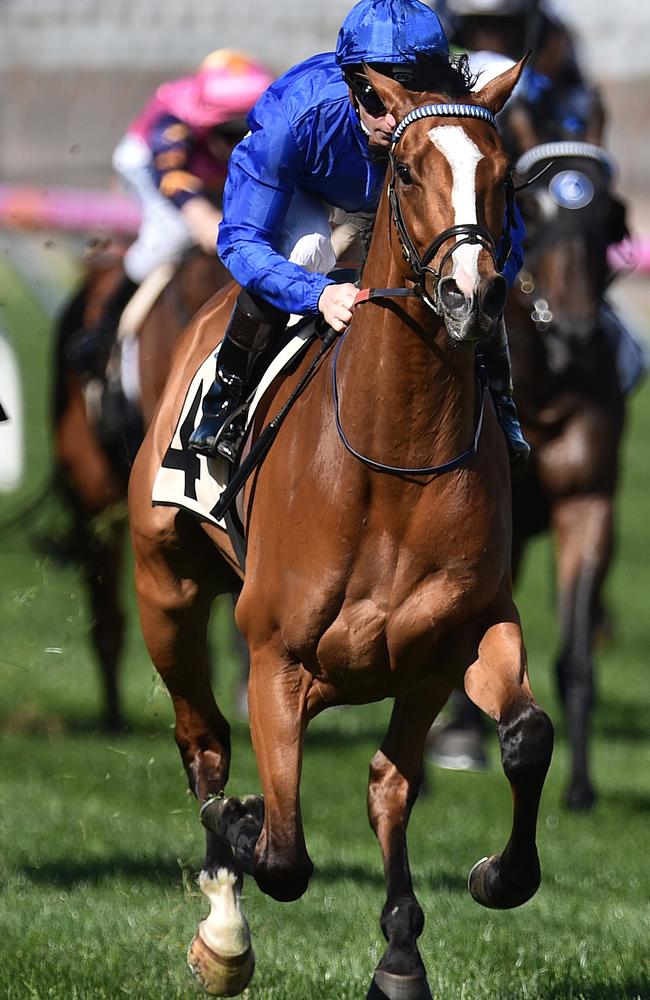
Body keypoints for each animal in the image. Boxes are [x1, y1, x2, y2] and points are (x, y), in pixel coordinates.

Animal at [130, 58, 552, 996]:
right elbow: (283, 852)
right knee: (203, 744)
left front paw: (480, 889)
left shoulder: (458, 637)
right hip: (165, 588)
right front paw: (243, 832)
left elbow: (512, 743)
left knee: (382, 779)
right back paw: (223, 929)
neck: (395, 457)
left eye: (505, 178)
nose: (471, 295)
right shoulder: (276, 657)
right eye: (409, 172)